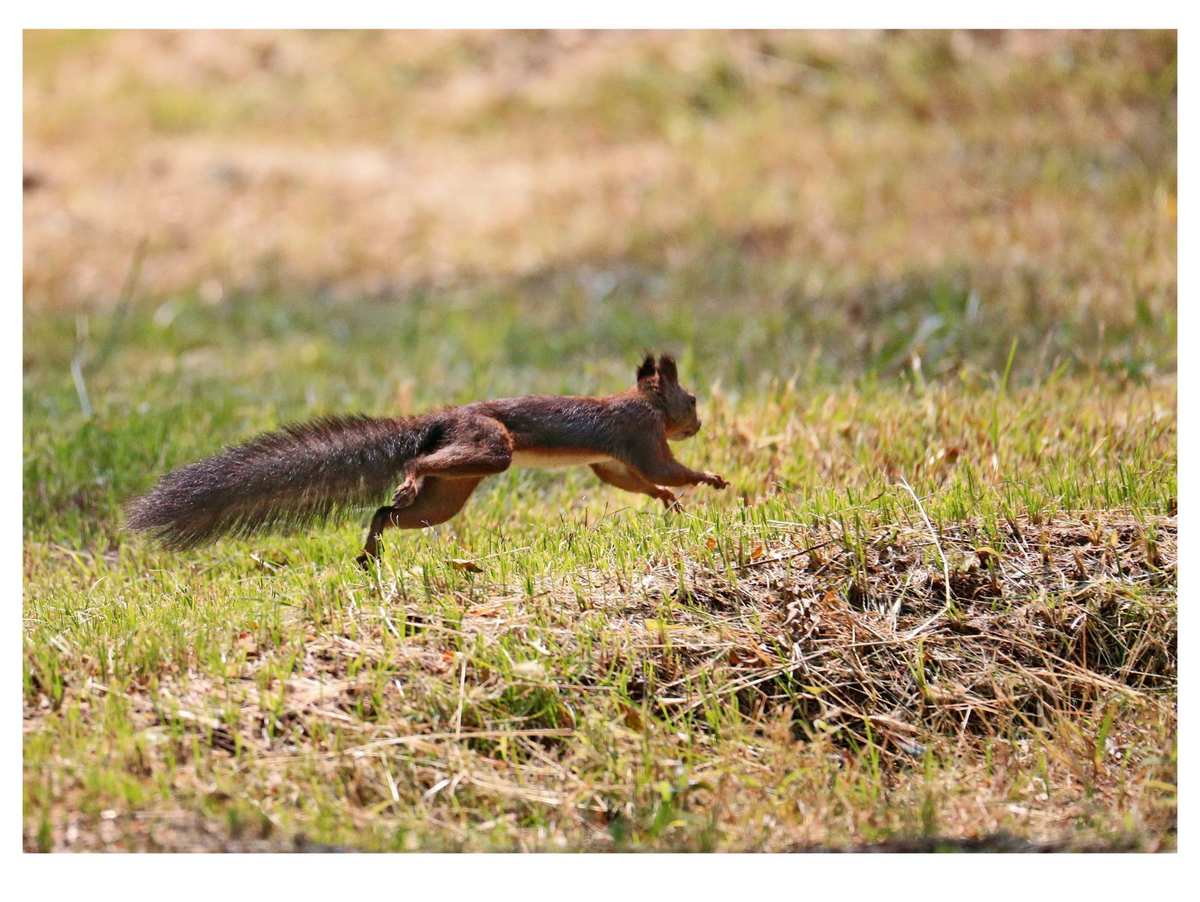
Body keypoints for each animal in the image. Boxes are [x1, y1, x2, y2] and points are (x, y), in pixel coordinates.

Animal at [126, 352, 724, 563]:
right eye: (692, 399)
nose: (698, 422)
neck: (643, 404)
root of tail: (439, 421)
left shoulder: (615, 459)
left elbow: (632, 480)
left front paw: (670, 500)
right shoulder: (641, 436)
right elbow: (664, 469)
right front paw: (710, 479)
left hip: (451, 494)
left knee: (389, 514)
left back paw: (371, 550)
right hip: (488, 448)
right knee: (418, 474)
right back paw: (405, 480)